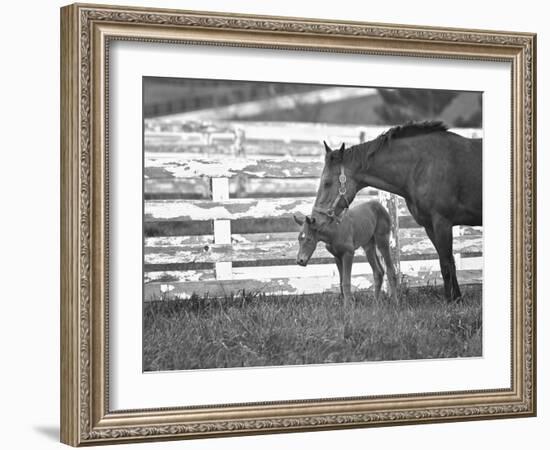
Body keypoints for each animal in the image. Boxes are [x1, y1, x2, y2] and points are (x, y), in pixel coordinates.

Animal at [314, 121, 484, 300]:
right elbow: (449, 262)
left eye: (327, 183)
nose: (315, 218)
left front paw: (451, 300)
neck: (424, 165)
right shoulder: (430, 226)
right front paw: (456, 298)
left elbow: (445, 263)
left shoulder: (442, 222)